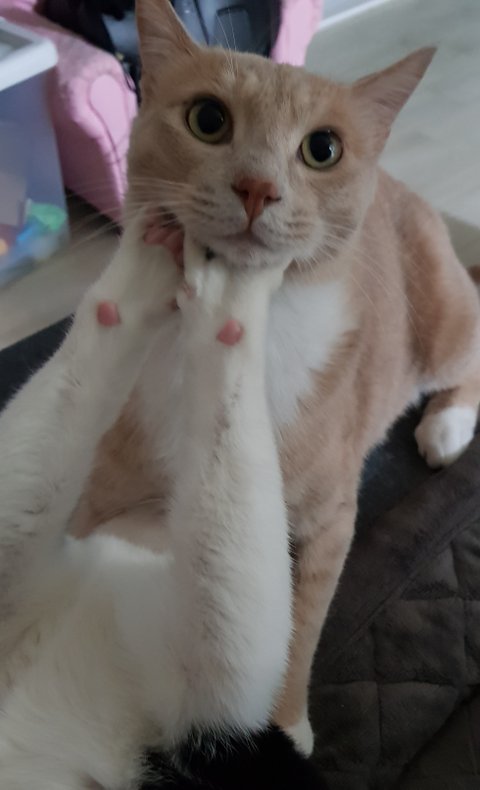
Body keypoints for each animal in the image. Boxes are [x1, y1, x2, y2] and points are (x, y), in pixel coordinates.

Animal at [72, 0, 480, 756]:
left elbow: (301, 626)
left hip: (442, 323)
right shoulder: (100, 498)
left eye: (323, 149)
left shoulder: (328, 524)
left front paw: (285, 725)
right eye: (208, 119)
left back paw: (447, 424)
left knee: (473, 356)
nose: (257, 186)